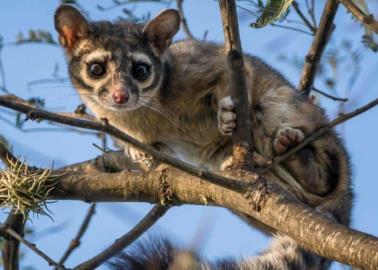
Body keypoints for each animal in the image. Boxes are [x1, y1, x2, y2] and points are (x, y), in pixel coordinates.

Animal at [54, 4, 352, 270]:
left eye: (141, 70)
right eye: (97, 69)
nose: (120, 96)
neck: (138, 112)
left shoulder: (198, 63)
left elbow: (237, 70)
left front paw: (225, 114)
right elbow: (153, 149)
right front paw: (138, 152)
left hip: (295, 113)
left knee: (283, 126)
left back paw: (302, 159)